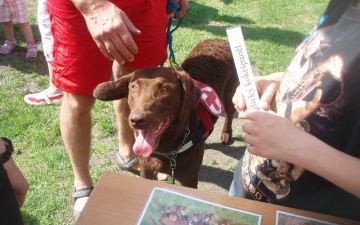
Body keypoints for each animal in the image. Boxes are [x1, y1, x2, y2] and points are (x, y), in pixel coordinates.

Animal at [93, 38, 239, 188]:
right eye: (133, 87)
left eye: (164, 89)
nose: (137, 120)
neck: (165, 151)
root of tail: (218, 39)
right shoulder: (146, 170)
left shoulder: (190, 179)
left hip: (230, 94)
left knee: (229, 113)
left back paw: (226, 133)